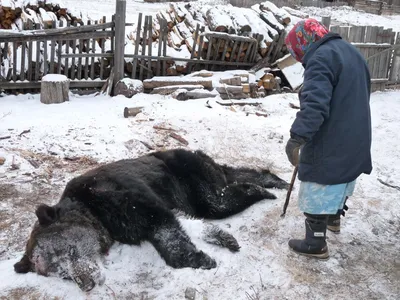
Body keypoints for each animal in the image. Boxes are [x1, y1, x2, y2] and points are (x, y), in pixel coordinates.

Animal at [14, 149, 290, 292]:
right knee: (231, 179)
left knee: (218, 199)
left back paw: (263, 188)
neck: (97, 215)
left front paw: (200, 258)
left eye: (69, 251)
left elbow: (164, 228)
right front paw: (218, 239)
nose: (87, 283)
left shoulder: (127, 197)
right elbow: (182, 222)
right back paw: (272, 180)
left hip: (190, 174)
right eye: (61, 274)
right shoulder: (134, 218)